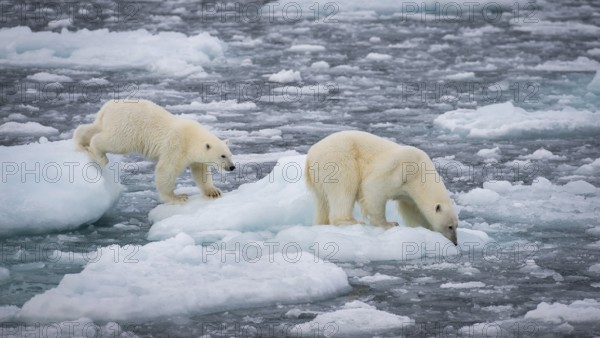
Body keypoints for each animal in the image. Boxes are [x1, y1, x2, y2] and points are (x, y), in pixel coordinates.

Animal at [74, 99, 234, 203]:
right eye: (222, 156)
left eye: (230, 155)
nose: (232, 167)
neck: (192, 138)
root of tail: (107, 108)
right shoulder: (176, 146)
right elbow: (166, 170)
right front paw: (177, 197)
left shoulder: (196, 157)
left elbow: (200, 172)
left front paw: (213, 191)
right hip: (128, 127)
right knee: (114, 141)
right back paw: (100, 156)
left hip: (108, 121)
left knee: (93, 128)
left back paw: (80, 142)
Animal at [308, 131, 458, 244]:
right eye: (450, 226)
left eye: (457, 225)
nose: (455, 242)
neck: (421, 172)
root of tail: (310, 157)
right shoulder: (401, 169)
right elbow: (373, 188)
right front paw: (389, 224)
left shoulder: (409, 194)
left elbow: (412, 211)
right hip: (337, 159)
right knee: (344, 186)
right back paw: (351, 221)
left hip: (319, 179)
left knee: (323, 202)